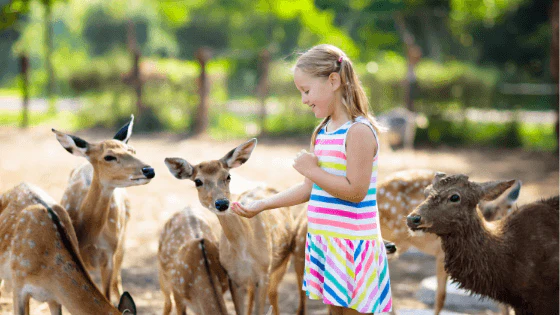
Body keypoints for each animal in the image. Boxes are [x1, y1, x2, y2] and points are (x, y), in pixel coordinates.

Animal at [53, 114, 155, 304]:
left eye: (132, 150)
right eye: (109, 157)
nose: (149, 170)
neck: (88, 236)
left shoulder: (108, 254)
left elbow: (105, 295)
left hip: (122, 241)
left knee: (117, 281)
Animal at [165, 139, 294, 315]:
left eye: (228, 176)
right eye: (198, 181)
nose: (222, 203)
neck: (244, 251)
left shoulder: (263, 273)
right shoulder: (233, 277)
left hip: (282, 262)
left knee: (274, 293)